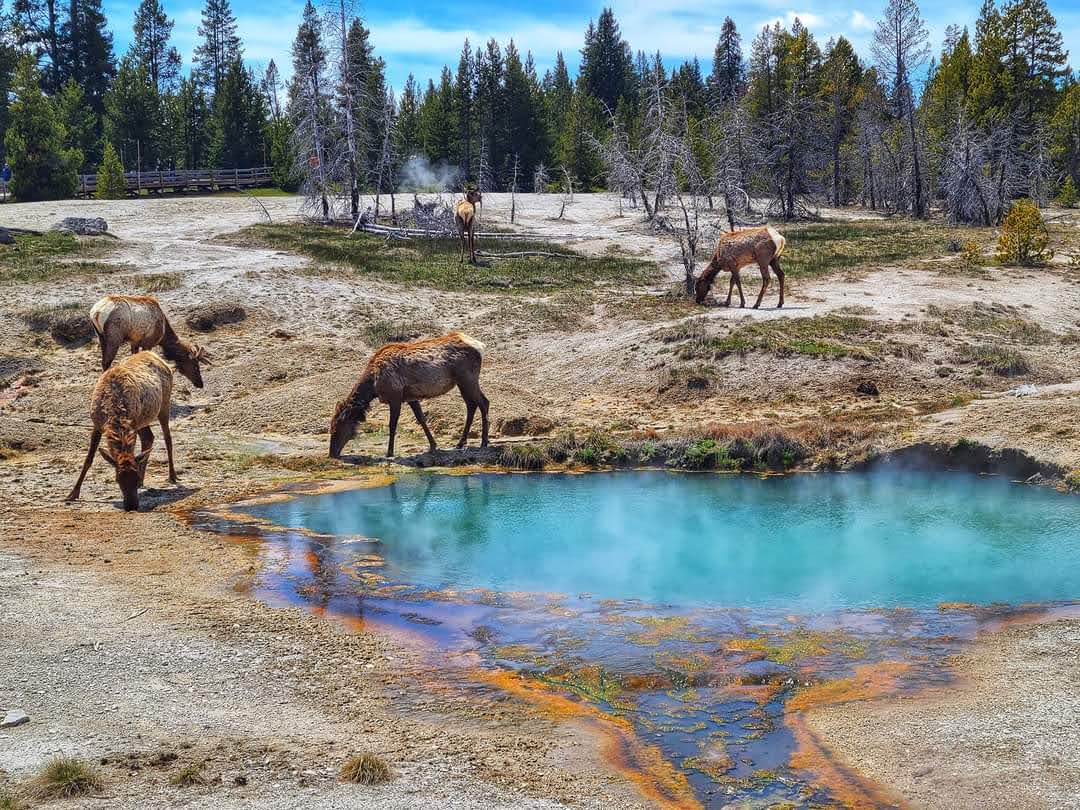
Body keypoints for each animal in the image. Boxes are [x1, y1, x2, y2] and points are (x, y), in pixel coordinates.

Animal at [65, 349, 177, 509]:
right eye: (118, 479)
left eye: (135, 477)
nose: (132, 506)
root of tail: (157, 357)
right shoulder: (97, 425)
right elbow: (88, 459)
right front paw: (72, 494)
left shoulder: (131, 424)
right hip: (142, 418)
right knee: (149, 437)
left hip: (164, 405)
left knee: (167, 437)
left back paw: (172, 476)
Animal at [330, 330, 492, 460]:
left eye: (336, 428)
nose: (331, 453)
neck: (373, 386)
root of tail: (480, 346)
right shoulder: (411, 397)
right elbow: (421, 419)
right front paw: (433, 445)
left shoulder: (395, 396)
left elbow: (392, 425)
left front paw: (389, 452)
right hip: (462, 382)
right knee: (472, 405)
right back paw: (461, 442)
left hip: (467, 378)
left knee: (483, 402)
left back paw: (484, 441)